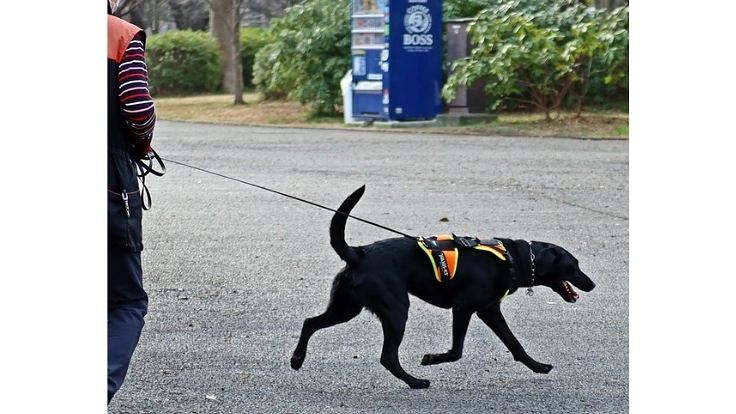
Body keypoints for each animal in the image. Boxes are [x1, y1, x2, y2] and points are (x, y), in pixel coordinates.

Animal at [290, 187, 596, 388]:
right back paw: (416, 382)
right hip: (396, 310)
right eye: (574, 265)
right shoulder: (463, 308)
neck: (513, 258)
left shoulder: (489, 311)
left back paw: (296, 359)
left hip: (346, 308)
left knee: (309, 323)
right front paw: (432, 358)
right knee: (388, 357)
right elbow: (457, 350)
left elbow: (514, 343)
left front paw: (537, 366)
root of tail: (358, 253)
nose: (592, 284)